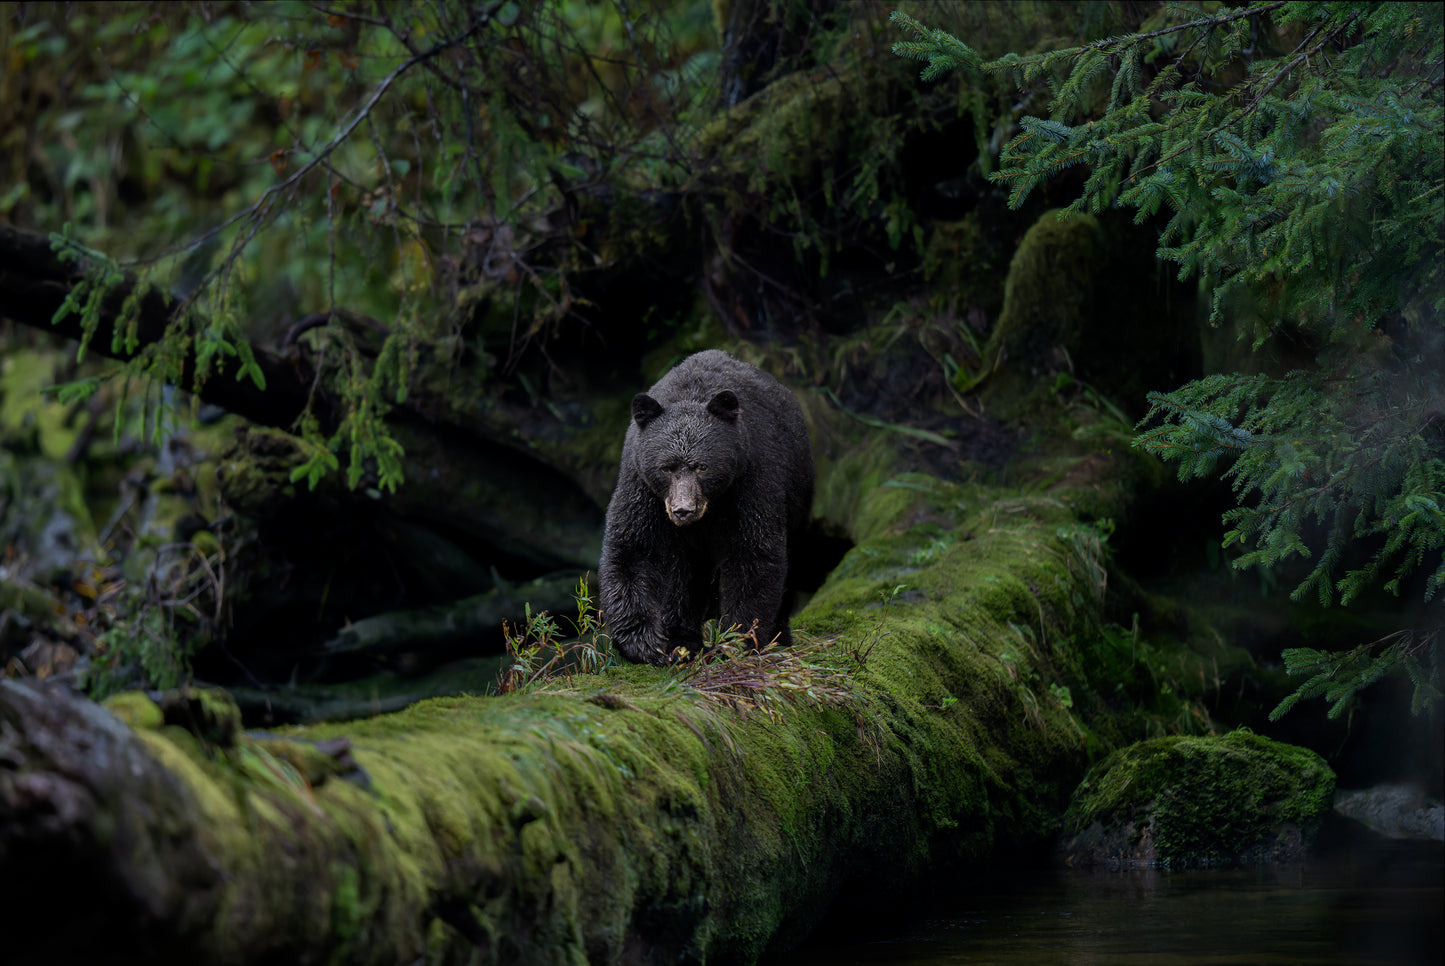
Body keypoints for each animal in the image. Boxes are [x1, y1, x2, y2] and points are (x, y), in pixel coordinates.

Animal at [601, 352, 814, 664]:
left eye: (702, 466)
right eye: (666, 467)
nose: (683, 510)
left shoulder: (751, 481)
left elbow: (753, 554)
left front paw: (738, 638)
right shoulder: (642, 486)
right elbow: (633, 547)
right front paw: (644, 641)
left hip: (799, 491)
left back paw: (780, 636)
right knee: (683, 576)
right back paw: (683, 641)